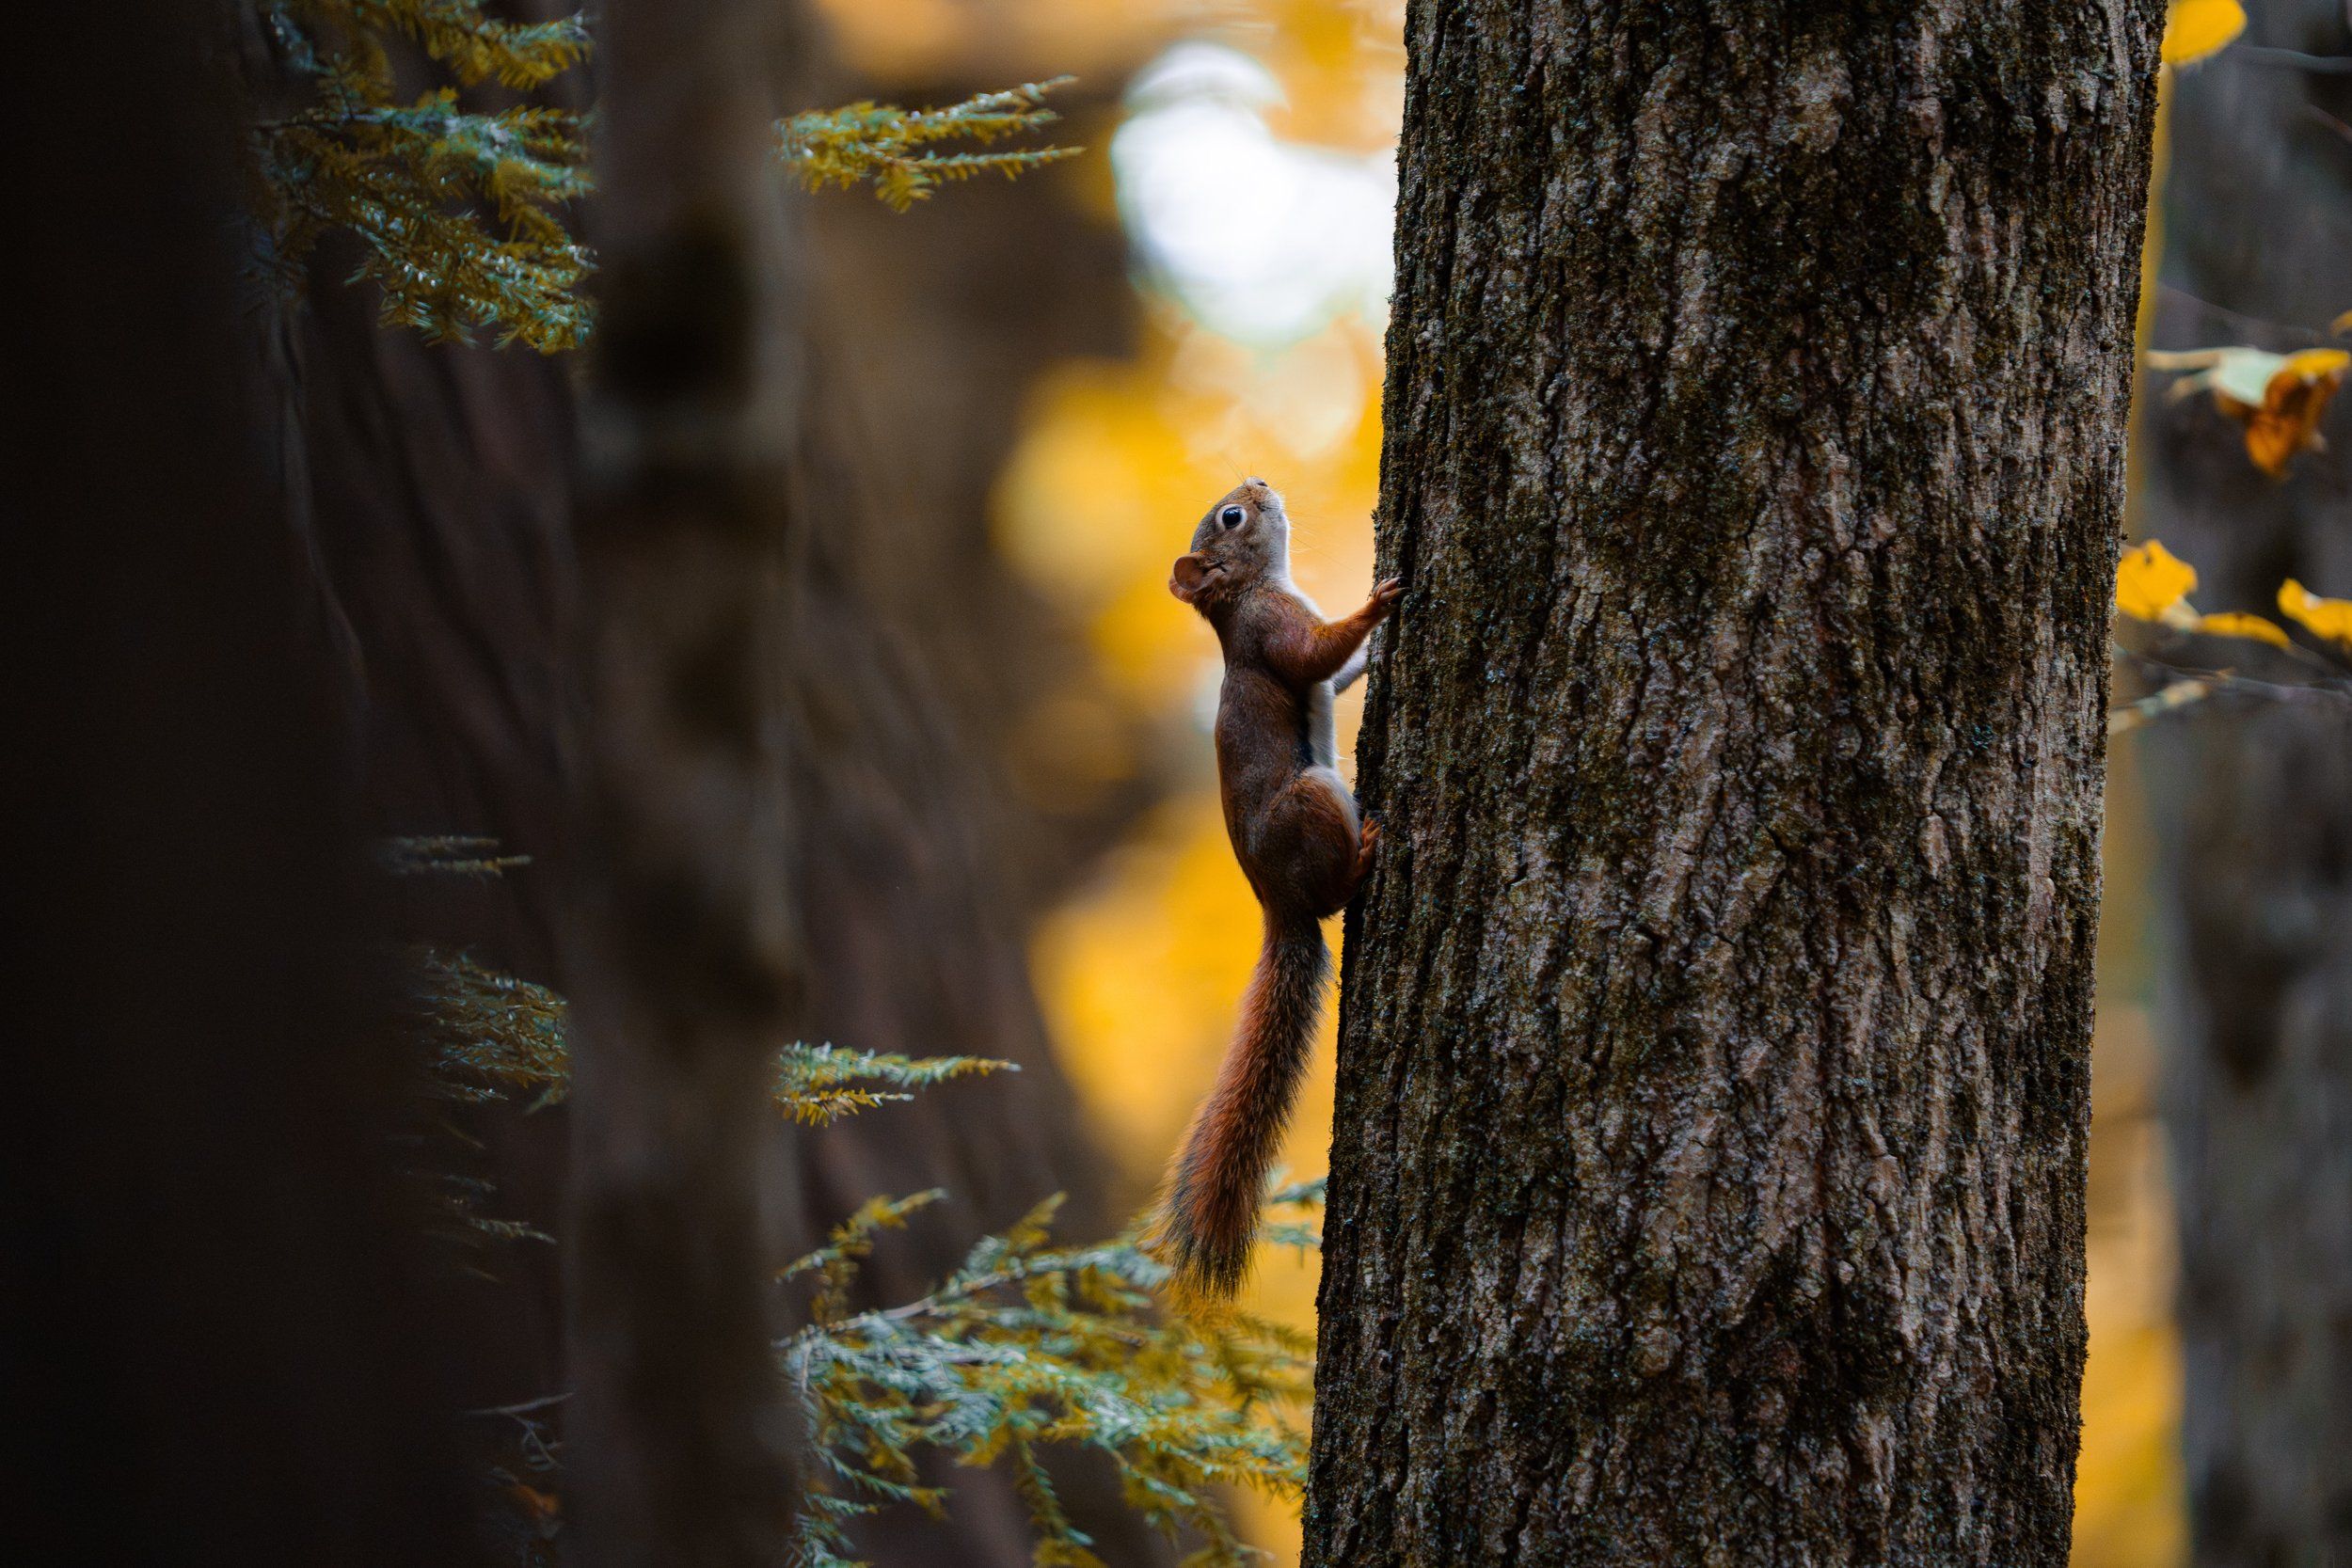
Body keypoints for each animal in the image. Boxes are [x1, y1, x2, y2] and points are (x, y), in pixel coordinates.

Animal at [1156, 477, 1402, 1297]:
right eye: (1232, 518)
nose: (1258, 483)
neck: (1251, 591)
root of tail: (1280, 906)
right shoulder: (1272, 629)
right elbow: (1312, 653)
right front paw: (1376, 605)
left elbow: (1337, 670)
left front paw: (1371, 655)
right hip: (1314, 798)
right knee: (1334, 893)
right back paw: (1367, 853)